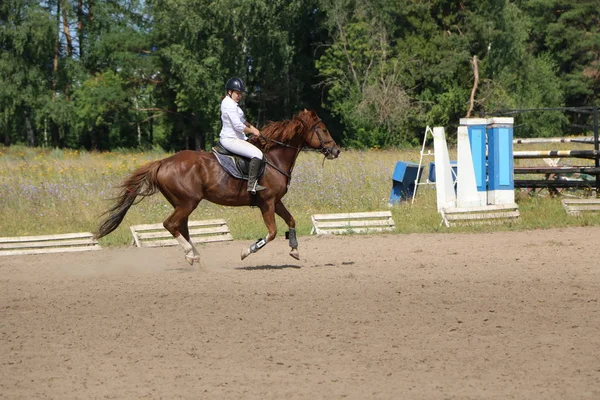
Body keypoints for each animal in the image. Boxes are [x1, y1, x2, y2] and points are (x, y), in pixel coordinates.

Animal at [93, 110, 338, 266]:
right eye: (324, 130)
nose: (336, 151)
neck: (274, 160)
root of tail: (162, 162)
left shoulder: (276, 202)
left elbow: (291, 221)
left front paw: (294, 249)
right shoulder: (266, 203)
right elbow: (272, 233)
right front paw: (246, 252)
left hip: (182, 203)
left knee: (181, 227)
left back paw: (194, 256)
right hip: (188, 202)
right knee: (170, 224)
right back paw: (190, 255)